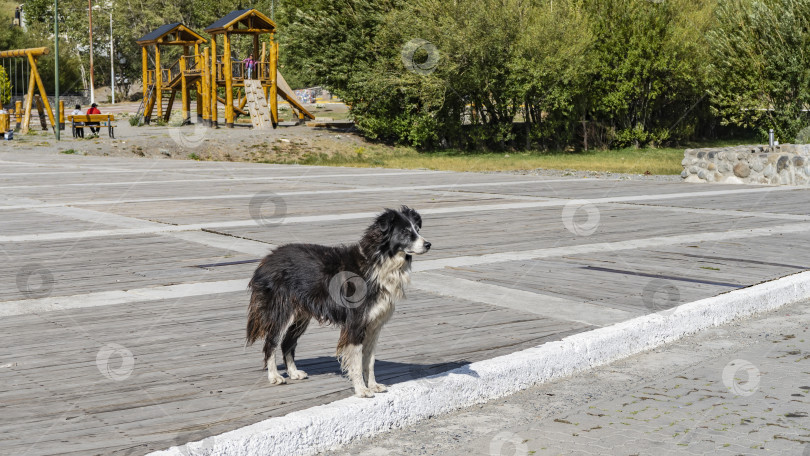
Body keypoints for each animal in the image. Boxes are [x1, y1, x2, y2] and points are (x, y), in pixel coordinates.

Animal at [245, 206, 430, 396]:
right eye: (405, 232)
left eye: (417, 229)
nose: (428, 244)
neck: (380, 262)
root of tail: (267, 259)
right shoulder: (356, 322)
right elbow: (356, 360)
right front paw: (361, 389)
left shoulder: (374, 324)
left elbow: (369, 360)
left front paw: (373, 385)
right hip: (281, 310)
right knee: (272, 342)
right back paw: (274, 376)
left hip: (300, 315)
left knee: (287, 342)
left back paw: (294, 372)